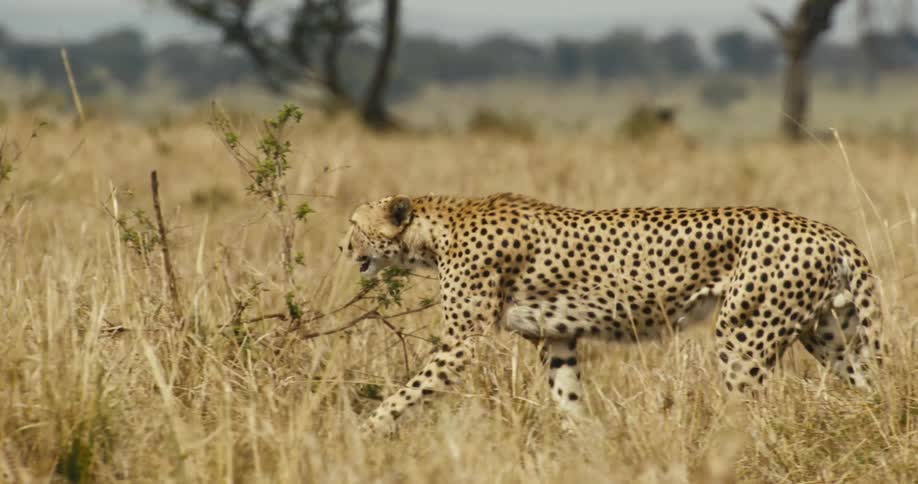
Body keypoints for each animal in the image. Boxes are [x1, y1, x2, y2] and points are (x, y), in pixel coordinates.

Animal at [339, 193, 883, 434]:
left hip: (742, 338)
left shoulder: (460, 344)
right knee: (872, 387)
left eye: (352, 223)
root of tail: (826, 230)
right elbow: (568, 398)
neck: (436, 228)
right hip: (828, 335)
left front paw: (360, 435)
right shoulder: (556, 339)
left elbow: (406, 393)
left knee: (754, 412)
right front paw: (585, 445)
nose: (342, 247)